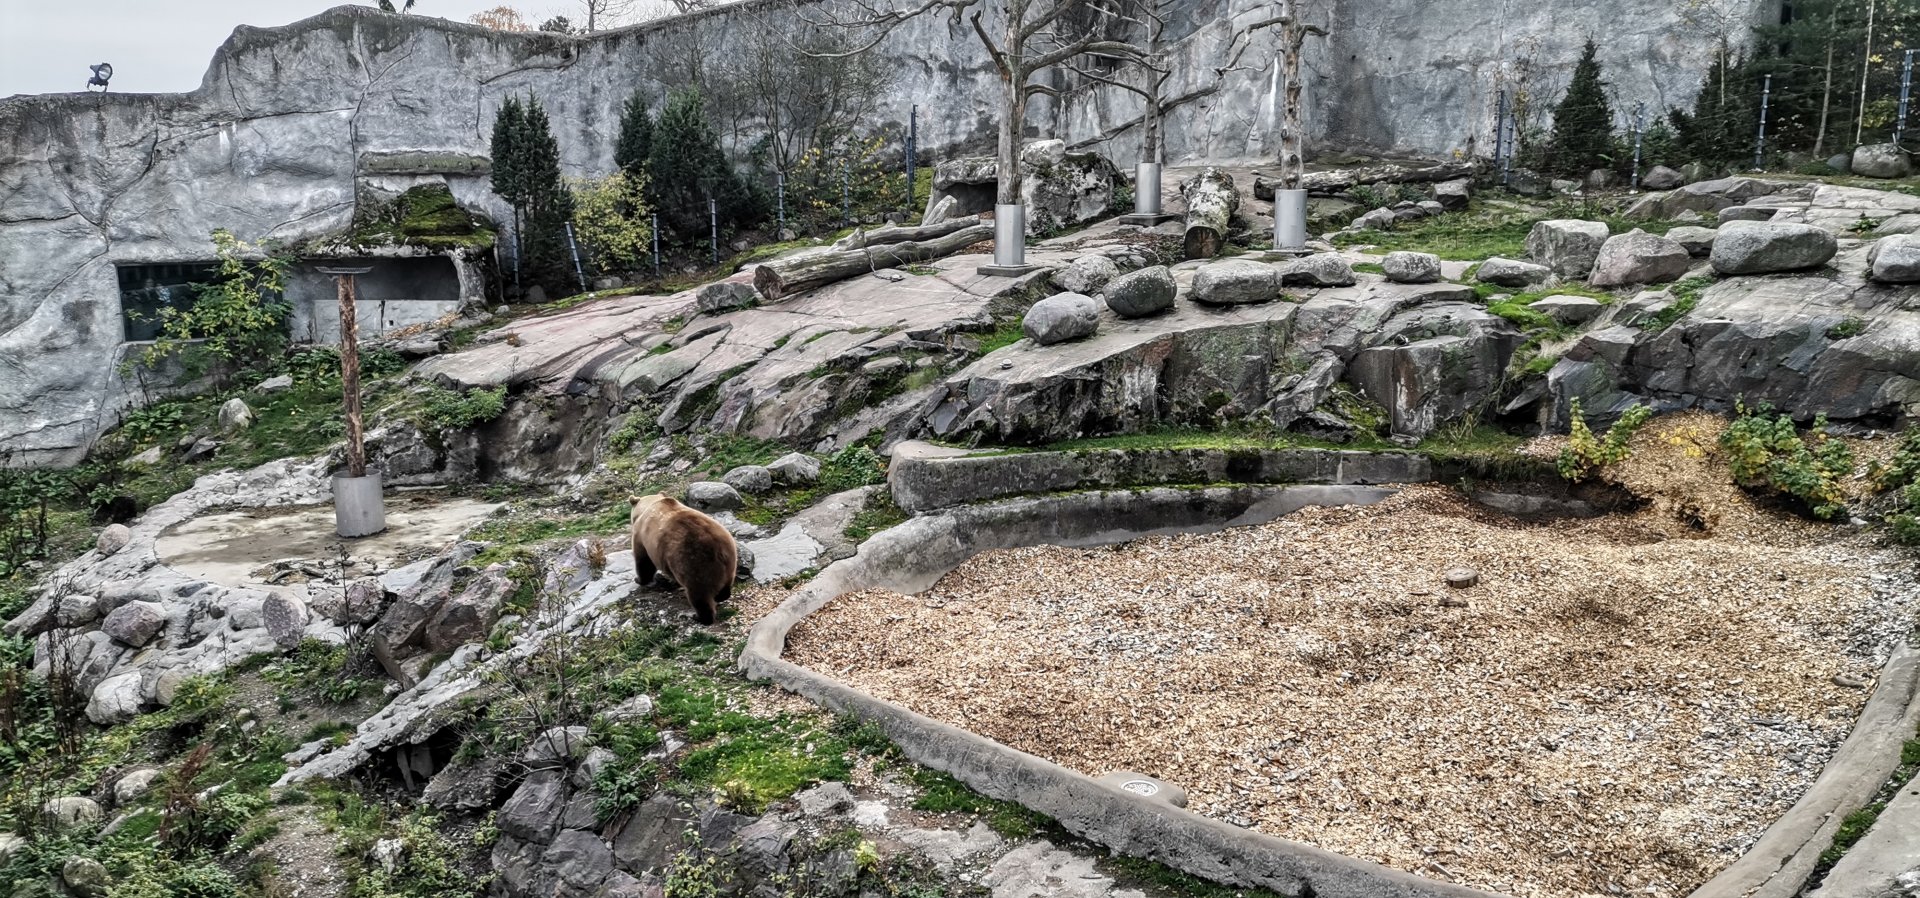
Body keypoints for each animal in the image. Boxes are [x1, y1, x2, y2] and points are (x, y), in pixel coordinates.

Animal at [629, 493, 738, 625]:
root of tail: (720, 550)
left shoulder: (642, 537)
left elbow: (644, 561)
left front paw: (639, 579)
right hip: (730, 562)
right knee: (725, 585)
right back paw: (721, 596)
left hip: (693, 563)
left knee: (699, 595)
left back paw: (700, 617)